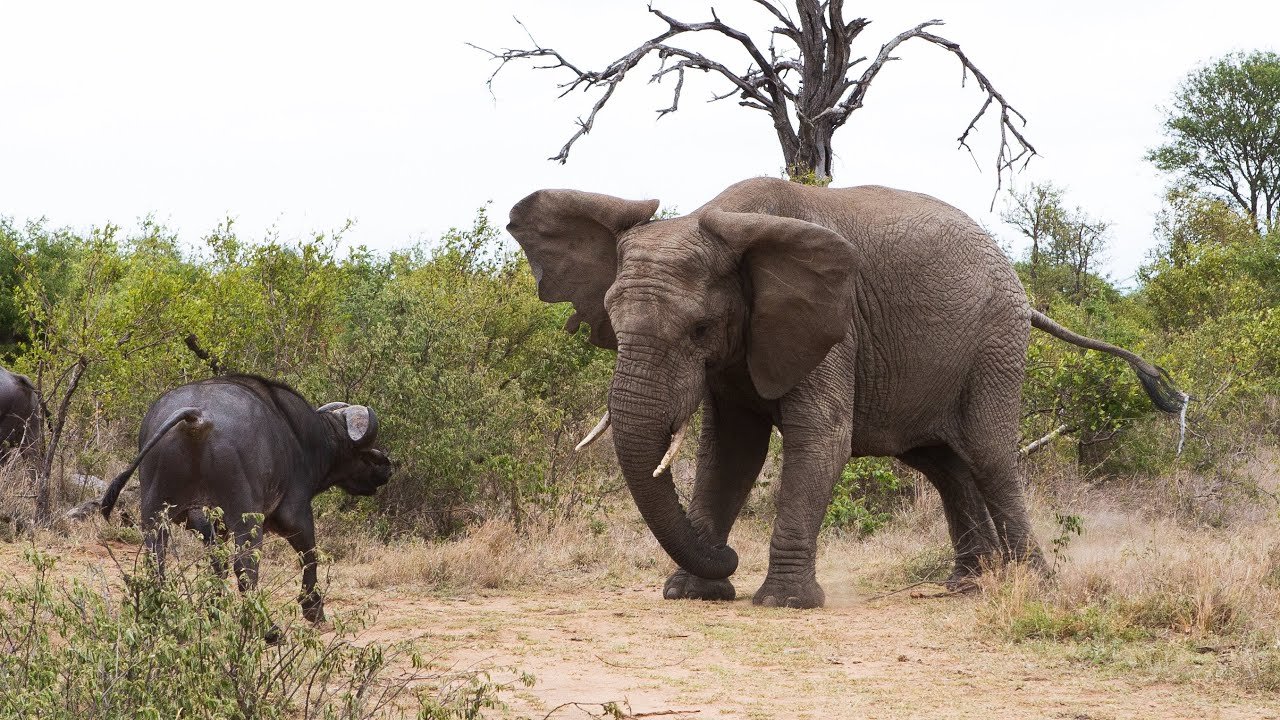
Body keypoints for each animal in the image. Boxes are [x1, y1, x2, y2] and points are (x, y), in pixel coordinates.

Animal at [508, 177, 1183, 608]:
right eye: (612, 322)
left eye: (698, 329)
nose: (728, 559)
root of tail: (1024, 293)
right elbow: (730, 453)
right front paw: (692, 594)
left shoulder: (833, 325)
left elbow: (819, 437)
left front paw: (782, 603)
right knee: (943, 463)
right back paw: (969, 585)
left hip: (996, 342)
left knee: (991, 455)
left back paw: (1032, 585)